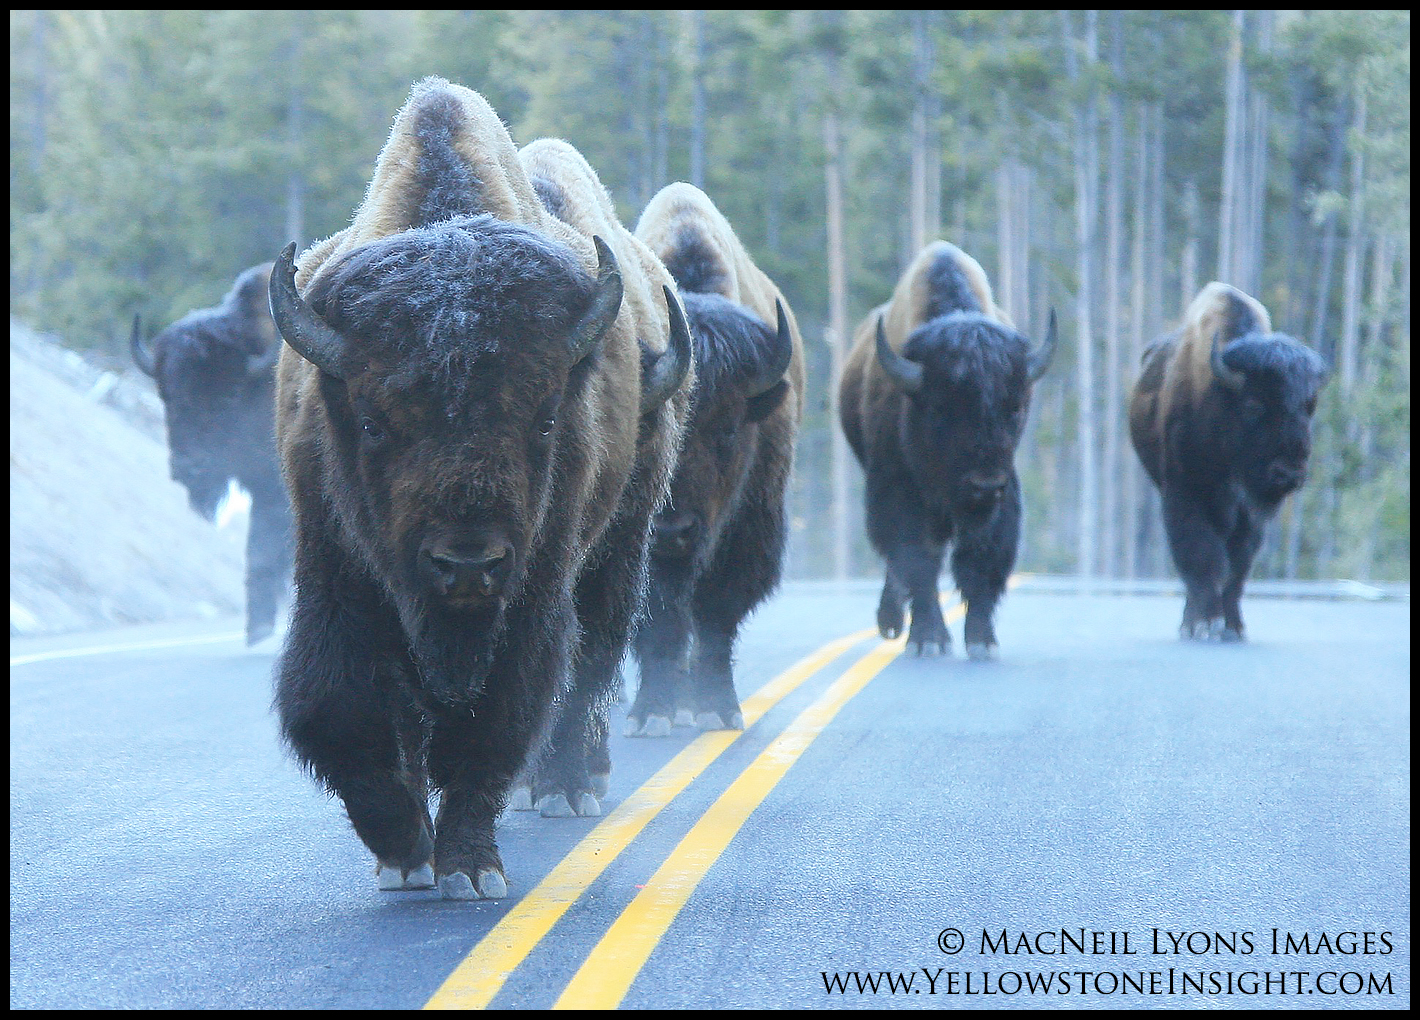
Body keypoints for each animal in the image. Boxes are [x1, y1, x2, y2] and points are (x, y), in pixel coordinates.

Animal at [131, 264, 293, 647]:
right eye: (165, 393)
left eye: (228, 395)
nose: (189, 467)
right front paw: (257, 628)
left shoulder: (276, 491)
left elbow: (265, 548)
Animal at [268, 83, 690, 909]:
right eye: (372, 421)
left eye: (547, 416)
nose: (466, 564)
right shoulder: (338, 580)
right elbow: (340, 711)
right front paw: (404, 853)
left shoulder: (530, 598)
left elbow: (499, 721)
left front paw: (468, 868)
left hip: (614, 556)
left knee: (584, 674)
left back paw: (565, 789)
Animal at [624, 177, 812, 733]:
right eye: (650, 431)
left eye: (729, 431)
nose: (673, 531)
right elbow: (660, 621)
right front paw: (654, 712)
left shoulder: (749, 529)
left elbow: (717, 614)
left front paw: (717, 707)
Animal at [840, 240, 1056, 659]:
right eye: (941, 408)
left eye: (1015, 408)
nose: (984, 485)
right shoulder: (900, 492)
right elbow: (918, 560)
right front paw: (928, 640)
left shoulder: (1003, 496)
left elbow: (982, 559)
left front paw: (982, 640)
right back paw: (891, 622)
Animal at [1124, 284, 1323, 642]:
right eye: (1254, 405)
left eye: (1308, 407)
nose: (1288, 473)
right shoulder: (1184, 494)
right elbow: (1203, 557)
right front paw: (1204, 624)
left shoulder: (1248, 514)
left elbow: (1237, 566)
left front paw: (1233, 626)